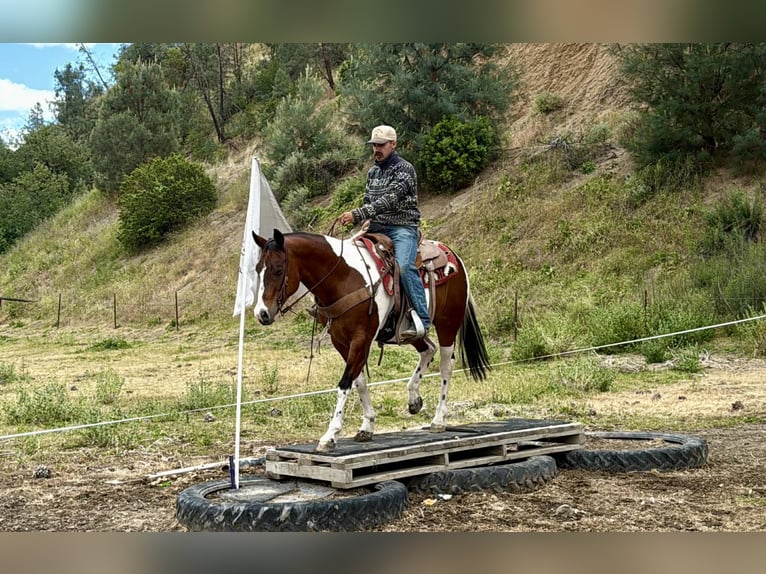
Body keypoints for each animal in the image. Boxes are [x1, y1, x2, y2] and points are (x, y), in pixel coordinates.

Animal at [251, 228, 491, 453]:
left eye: (278, 269)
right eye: (257, 269)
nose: (261, 313)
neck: (344, 277)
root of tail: (454, 257)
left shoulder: (361, 339)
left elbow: (345, 384)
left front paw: (330, 435)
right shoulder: (340, 341)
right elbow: (359, 382)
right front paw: (367, 425)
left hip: (447, 324)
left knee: (445, 366)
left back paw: (439, 419)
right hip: (408, 332)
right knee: (427, 350)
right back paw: (414, 399)